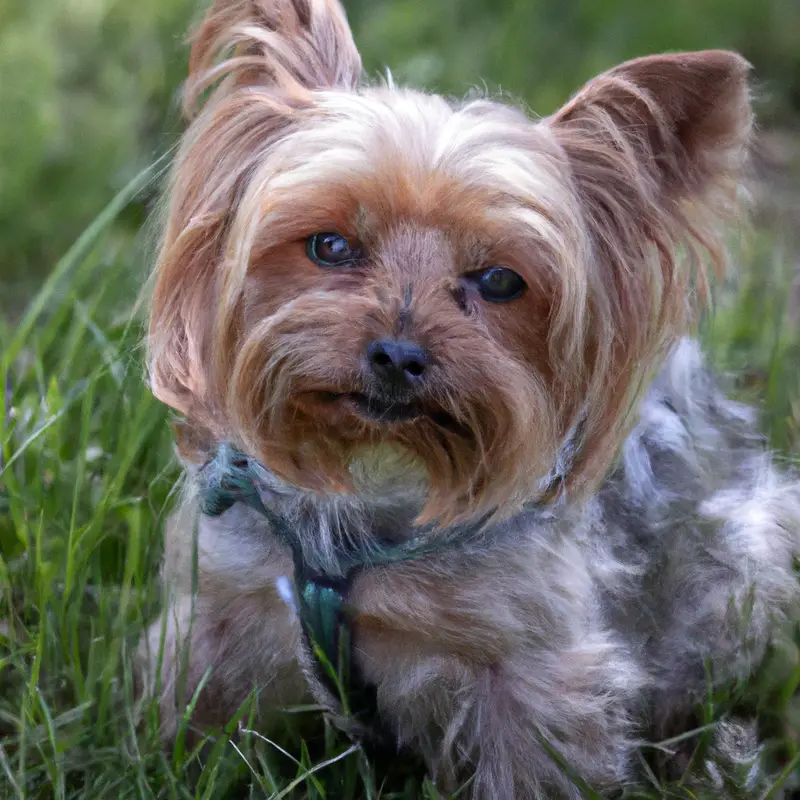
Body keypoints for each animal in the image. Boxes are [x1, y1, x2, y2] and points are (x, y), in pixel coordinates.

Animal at [141, 3, 800, 796]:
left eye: (500, 282)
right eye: (329, 246)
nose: (398, 355)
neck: (379, 486)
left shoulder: (534, 676)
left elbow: (534, 762)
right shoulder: (219, 608)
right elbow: (199, 720)